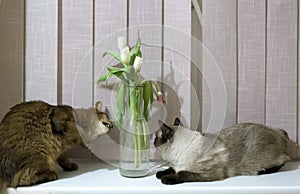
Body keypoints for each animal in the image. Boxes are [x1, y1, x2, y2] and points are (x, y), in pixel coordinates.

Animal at [155, 118, 290, 185]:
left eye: (156, 138)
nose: (153, 142)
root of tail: (277, 130)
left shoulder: (209, 173)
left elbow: (182, 173)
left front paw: (166, 179)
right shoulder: (176, 165)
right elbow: (171, 169)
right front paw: (160, 173)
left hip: (260, 161)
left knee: (284, 160)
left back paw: (263, 171)